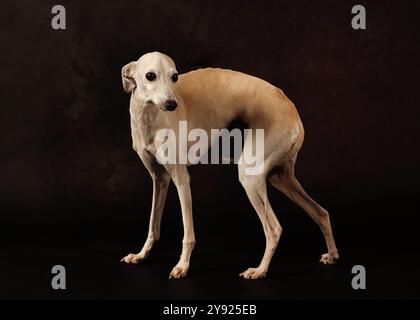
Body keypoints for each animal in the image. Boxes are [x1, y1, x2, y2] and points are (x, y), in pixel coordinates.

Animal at [119, 51, 338, 278]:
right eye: (150, 75)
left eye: (175, 76)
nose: (172, 105)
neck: (149, 116)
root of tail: (294, 113)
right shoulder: (160, 179)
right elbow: (153, 225)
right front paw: (140, 255)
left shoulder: (181, 179)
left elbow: (188, 232)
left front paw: (182, 266)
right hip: (280, 177)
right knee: (321, 212)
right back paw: (332, 255)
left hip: (250, 177)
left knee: (274, 229)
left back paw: (260, 270)